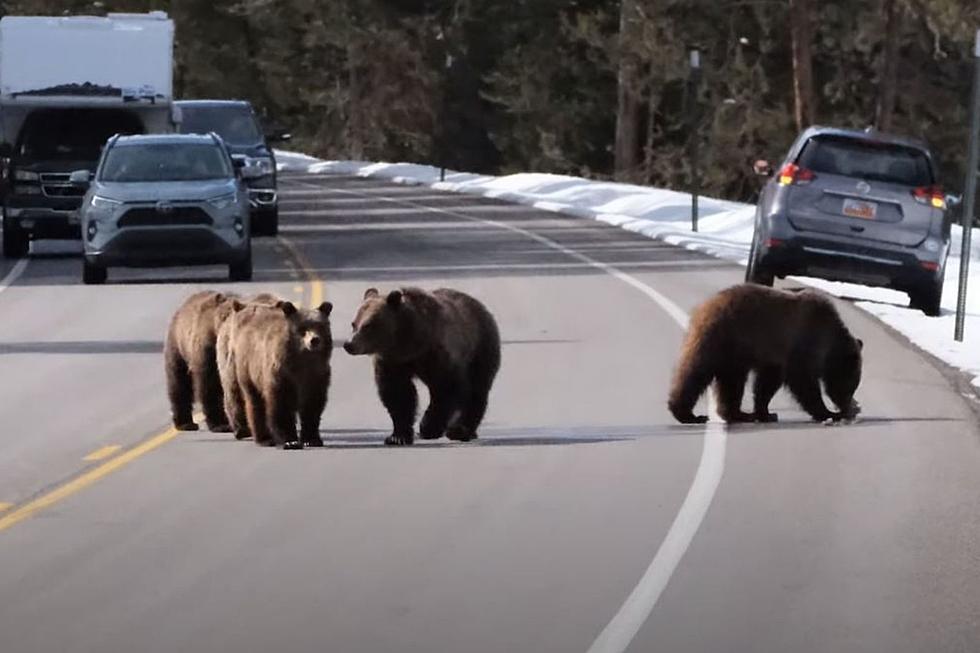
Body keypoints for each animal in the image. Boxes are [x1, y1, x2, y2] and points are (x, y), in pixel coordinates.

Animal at [165, 290, 241, 430]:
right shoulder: (206, 349)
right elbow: (208, 385)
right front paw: (219, 423)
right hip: (178, 349)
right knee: (179, 384)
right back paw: (185, 422)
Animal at [223, 296, 334, 446]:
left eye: (320, 326)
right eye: (302, 328)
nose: (314, 340)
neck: (302, 360)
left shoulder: (317, 375)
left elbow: (313, 406)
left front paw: (312, 439)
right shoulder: (281, 373)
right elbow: (281, 405)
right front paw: (289, 440)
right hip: (249, 370)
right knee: (255, 402)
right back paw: (264, 437)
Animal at [342, 288, 498, 446]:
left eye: (367, 325)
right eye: (353, 323)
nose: (349, 344)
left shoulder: (438, 354)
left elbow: (447, 388)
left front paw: (428, 427)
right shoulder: (392, 361)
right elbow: (398, 393)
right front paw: (398, 436)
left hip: (480, 348)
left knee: (476, 389)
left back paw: (461, 430)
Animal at [668, 284, 864, 426]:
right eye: (851, 385)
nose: (847, 407)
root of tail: (703, 306)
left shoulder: (775, 357)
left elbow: (767, 383)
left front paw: (765, 413)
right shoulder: (804, 341)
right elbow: (802, 380)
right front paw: (827, 413)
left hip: (734, 354)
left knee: (731, 383)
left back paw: (738, 414)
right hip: (722, 338)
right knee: (696, 372)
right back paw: (687, 414)